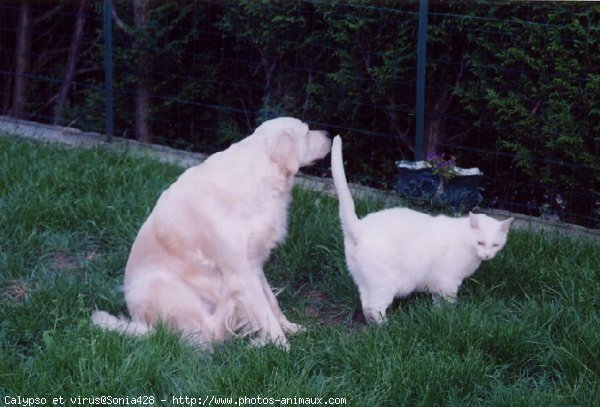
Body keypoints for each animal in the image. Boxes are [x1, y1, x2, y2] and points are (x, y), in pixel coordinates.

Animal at [91, 116, 330, 350]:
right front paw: (282, 347)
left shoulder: (254, 263)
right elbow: (265, 313)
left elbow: (272, 303)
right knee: (210, 333)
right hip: (160, 285)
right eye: (307, 132)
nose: (329, 134)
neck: (257, 179)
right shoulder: (240, 271)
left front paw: (291, 328)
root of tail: (141, 324)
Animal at [330, 137, 512, 326]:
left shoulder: (440, 284)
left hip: (363, 280)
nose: (487, 255)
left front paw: (438, 314)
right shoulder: (449, 281)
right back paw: (387, 327)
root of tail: (359, 226)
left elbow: (438, 302)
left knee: (366, 306)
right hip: (385, 283)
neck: (467, 243)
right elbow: (449, 302)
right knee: (375, 308)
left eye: (495, 245)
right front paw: (449, 318)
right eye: (480, 243)